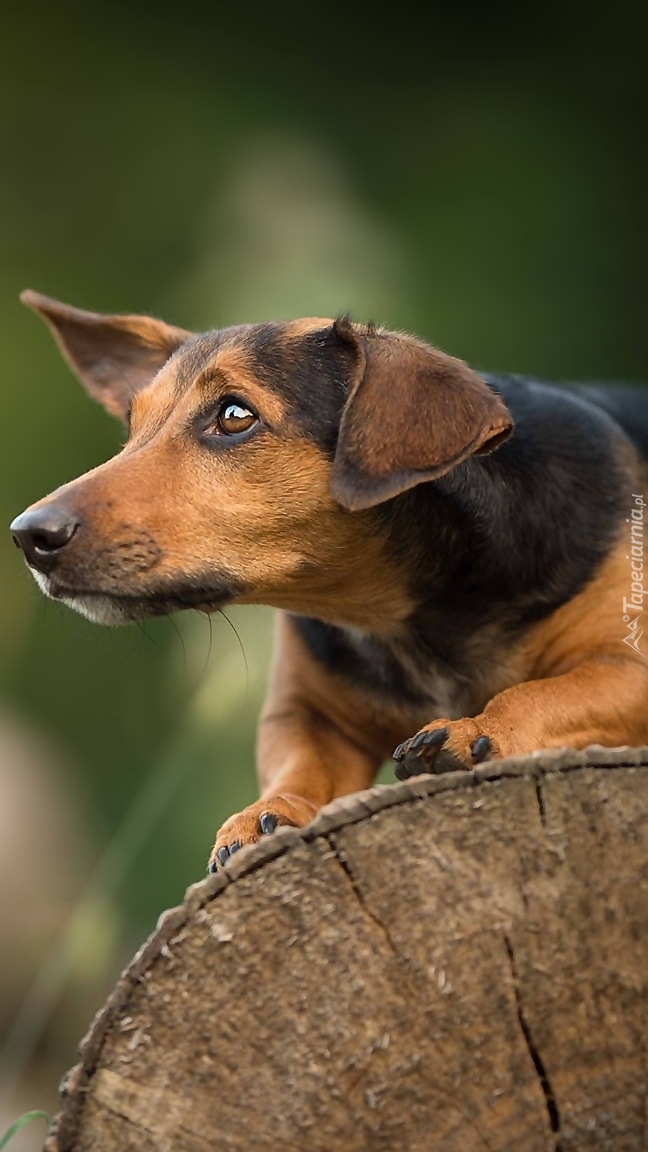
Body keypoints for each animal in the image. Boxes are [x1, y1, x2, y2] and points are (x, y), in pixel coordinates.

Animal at [8, 292, 645, 866]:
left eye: (234, 416)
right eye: (132, 425)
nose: (28, 536)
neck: (396, 614)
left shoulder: (627, 668)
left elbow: (540, 693)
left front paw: (476, 732)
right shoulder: (304, 712)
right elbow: (300, 766)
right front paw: (268, 812)